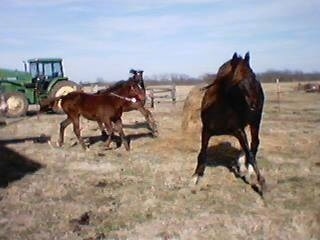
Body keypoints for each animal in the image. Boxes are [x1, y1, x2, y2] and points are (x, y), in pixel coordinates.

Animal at [194, 52, 266, 195]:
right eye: (238, 81)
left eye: (253, 75)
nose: (254, 104)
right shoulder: (206, 130)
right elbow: (202, 152)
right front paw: (196, 177)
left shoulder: (238, 130)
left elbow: (250, 154)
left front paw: (260, 182)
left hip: (255, 121)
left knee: (254, 144)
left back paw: (247, 170)